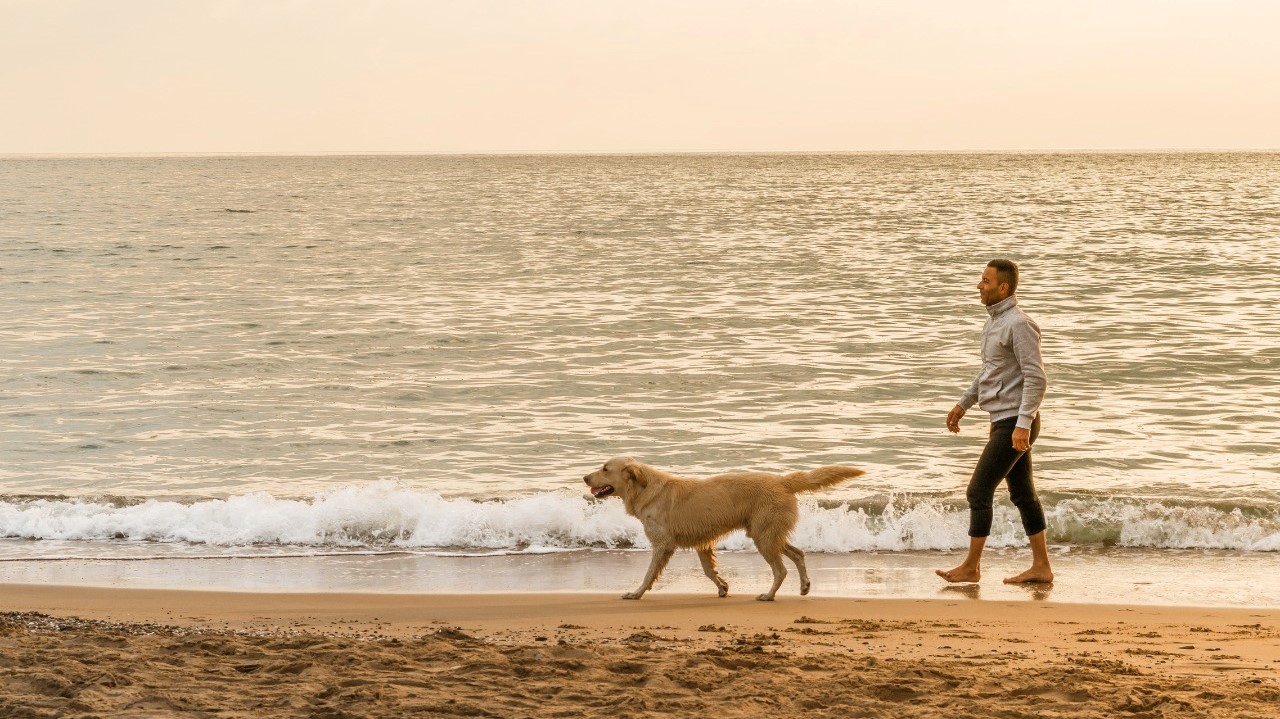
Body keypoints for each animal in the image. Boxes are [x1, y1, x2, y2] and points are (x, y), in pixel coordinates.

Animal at [586, 452, 865, 598]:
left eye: (605, 468)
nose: (584, 477)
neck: (645, 490)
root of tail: (782, 481)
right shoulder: (702, 541)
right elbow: (709, 571)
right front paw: (722, 586)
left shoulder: (663, 544)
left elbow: (648, 574)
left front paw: (636, 593)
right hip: (767, 533)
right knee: (798, 554)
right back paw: (805, 586)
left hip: (764, 536)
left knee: (781, 569)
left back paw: (769, 595)